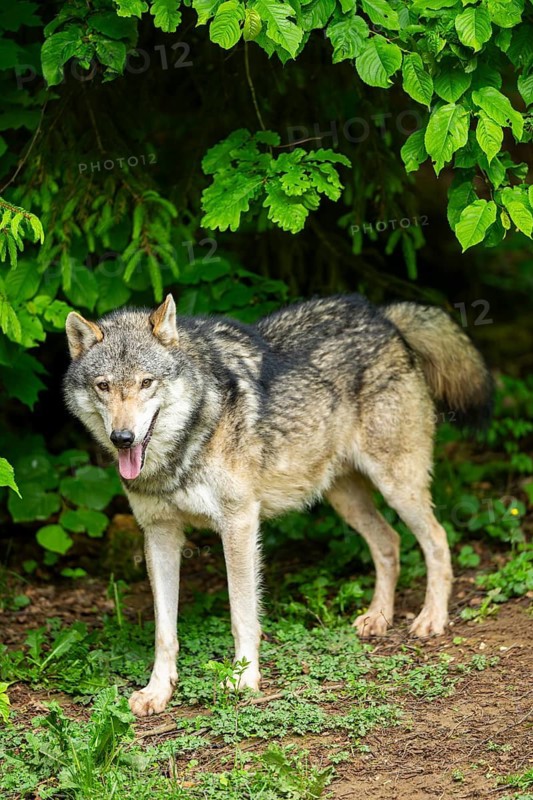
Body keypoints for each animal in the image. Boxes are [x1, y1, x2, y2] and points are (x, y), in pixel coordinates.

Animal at [64, 293, 492, 716]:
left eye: (146, 382)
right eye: (103, 386)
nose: (123, 438)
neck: (185, 444)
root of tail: (383, 316)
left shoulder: (238, 523)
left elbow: (242, 613)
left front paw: (243, 679)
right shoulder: (159, 535)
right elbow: (164, 631)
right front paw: (157, 691)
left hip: (397, 486)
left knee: (437, 539)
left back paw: (431, 618)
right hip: (345, 498)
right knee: (389, 542)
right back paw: (378, 617)